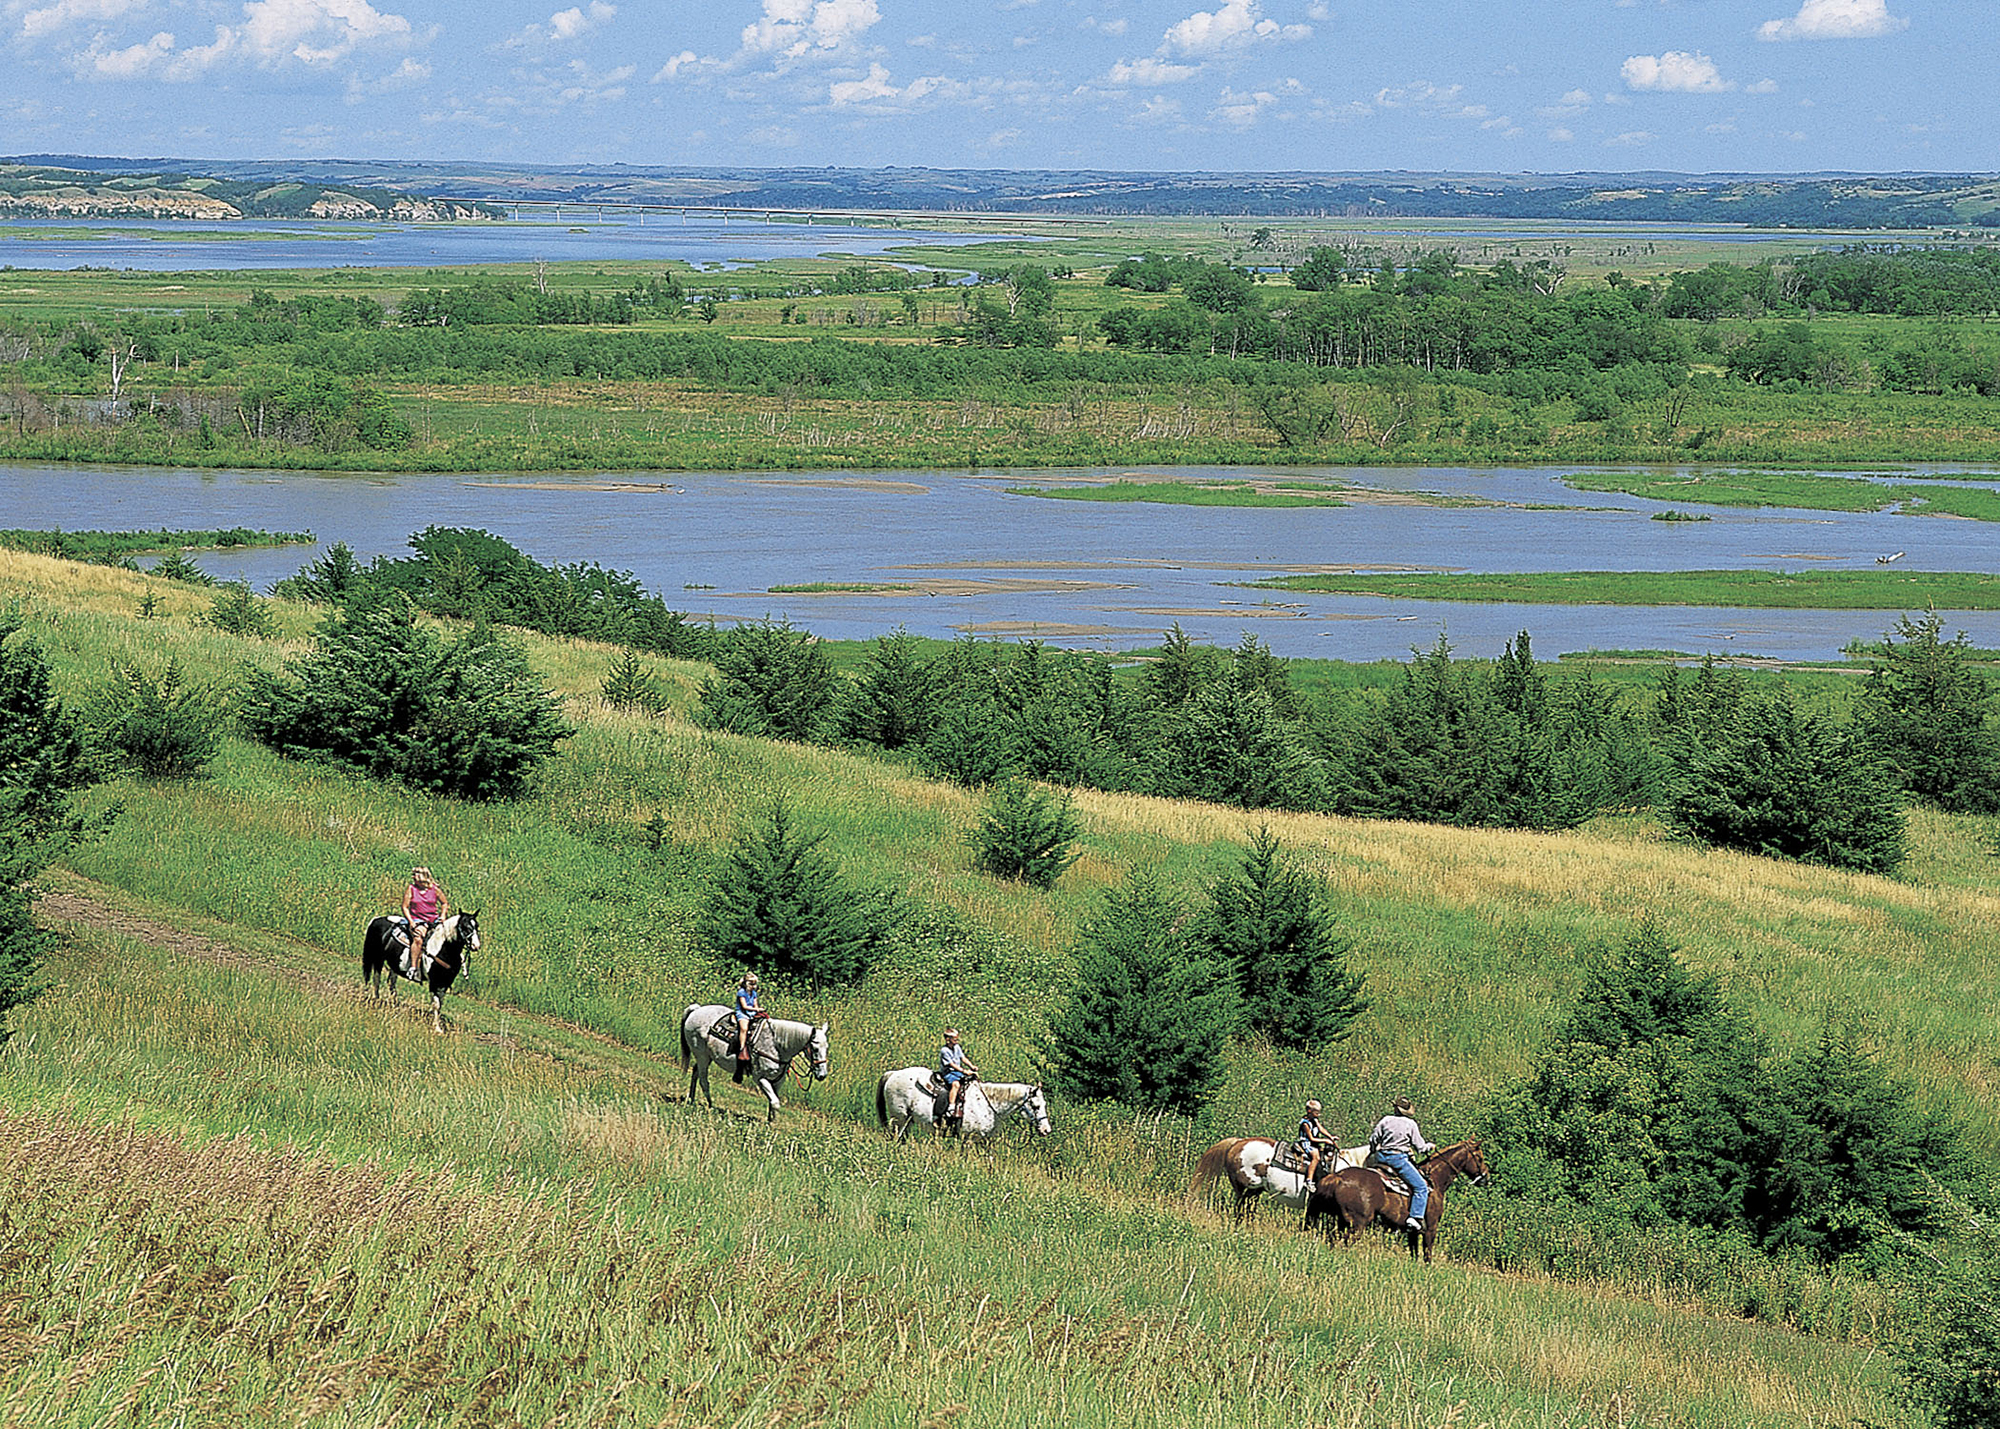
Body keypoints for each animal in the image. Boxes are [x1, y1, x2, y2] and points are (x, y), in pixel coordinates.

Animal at [676, 996, 824, 1120]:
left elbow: (773, 1102)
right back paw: (710, 1105)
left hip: (707, 1057)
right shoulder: (760, 1078)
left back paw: (691, 1099)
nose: (822, 1075)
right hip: (702, 1056)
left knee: (695, 1072)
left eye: (826, 1048)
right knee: (703, 1080)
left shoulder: (778, 1081)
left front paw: (770, 1123)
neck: (776, 1045)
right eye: (815, 1049)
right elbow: (775, 1102)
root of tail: (697, 1010)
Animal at [880, 1064, 1056, 1144]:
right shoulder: (968, 1138)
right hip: (900, 1119)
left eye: (1044, 1105)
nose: (1046, 1130)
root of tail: (893, 1074)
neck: (989, 1105)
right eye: (1036, 1106)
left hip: (907, 1121)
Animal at [1312, 1136, 1488, 1256]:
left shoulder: (1412, 1232)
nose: (1485, 1177)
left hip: (1341, 1221)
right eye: (1479, 1157)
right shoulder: (1431, 1228)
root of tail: (1338, 1176)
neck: (1435, 1179)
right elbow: (1427, 1255)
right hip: (1358, 1224)